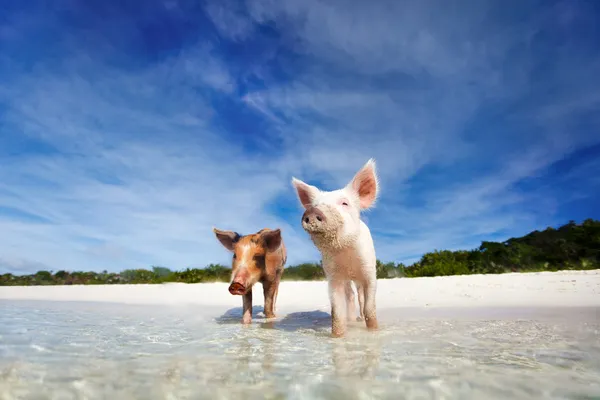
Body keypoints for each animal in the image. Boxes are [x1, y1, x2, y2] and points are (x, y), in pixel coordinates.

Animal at [290, 159, 380, 338]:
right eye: (315, 205)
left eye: (344, 203)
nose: (313, 211)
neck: (346, 253)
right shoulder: (333, 275)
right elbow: (337, 311)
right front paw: (337, 336)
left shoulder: (369, 270)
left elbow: (369, 306)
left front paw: (374, 330)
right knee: (350, 296)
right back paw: (351, 320)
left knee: (360, 296)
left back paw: (359, 319)